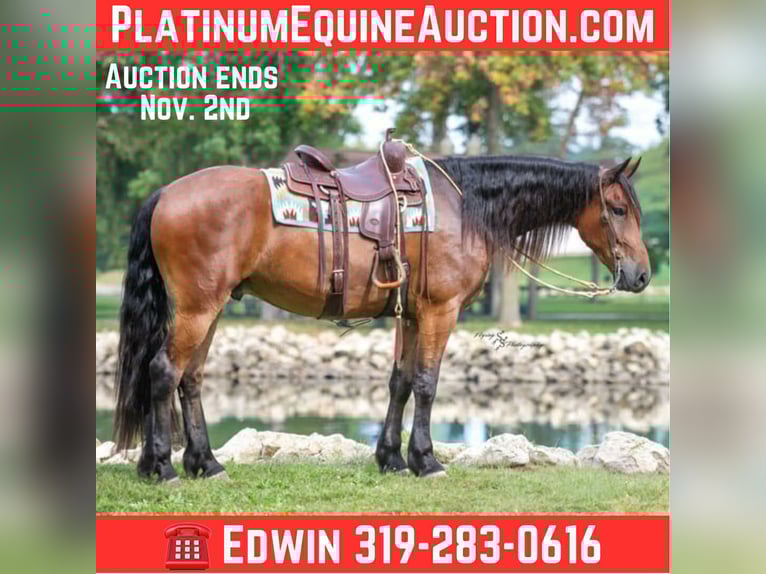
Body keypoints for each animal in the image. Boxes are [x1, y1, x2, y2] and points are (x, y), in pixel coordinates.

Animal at [113, 152, 649, 482]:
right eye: (618, 209)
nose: (641, 276)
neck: (464, 205)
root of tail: (166, 193)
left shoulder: (411, 315)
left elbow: (401, 382)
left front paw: (391, 458)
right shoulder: (440, 312)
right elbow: (428, 383)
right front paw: (426, 460)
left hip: (212, 306)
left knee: (191, 379)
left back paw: (205, 463)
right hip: (198, 308)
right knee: (164, 371)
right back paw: (161, 467)